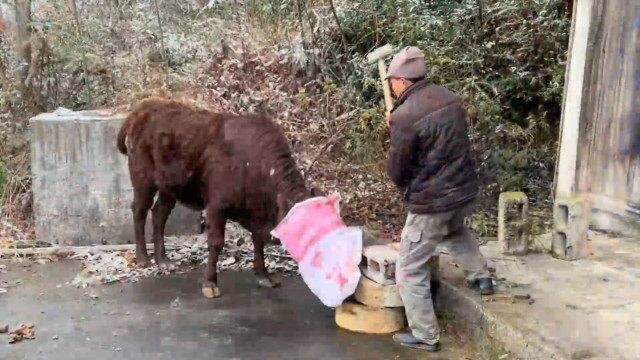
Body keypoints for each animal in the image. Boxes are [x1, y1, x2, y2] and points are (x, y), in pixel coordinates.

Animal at [118, 99, 318, 298]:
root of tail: (143, 109)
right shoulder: (217, 207)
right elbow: (216, 243)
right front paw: (210, 283)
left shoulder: (255, 214)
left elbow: (258, 240)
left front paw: (264, 276)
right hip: (143, 180)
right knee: (139, 210)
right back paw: (143, 258)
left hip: (169, 188)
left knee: (159, 213)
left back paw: (163, 260)